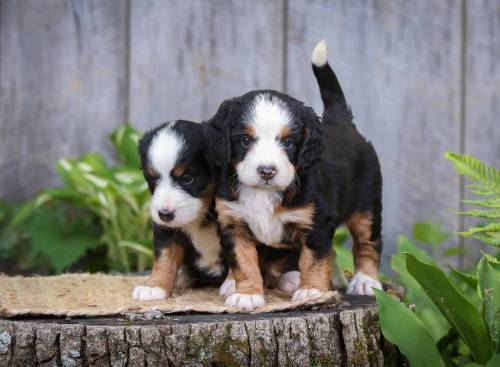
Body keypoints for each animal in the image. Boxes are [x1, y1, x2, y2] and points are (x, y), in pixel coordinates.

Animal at [133, 121, 227, 302]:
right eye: (153, 179)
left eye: (187, 179)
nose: (165, 214)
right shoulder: (165, 230)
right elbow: (164, 257)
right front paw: (155, 287)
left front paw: (234, 286)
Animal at [203, 40, 382, 310]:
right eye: (245, 140)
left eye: (288, 142)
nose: (267, 171)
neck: (263, 193)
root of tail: (342, 122)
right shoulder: (233, 223)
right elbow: (243, 260)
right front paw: (246, 293)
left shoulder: (316, 222)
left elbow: (314, 259)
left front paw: (311, 291)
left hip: (366, 206)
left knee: (367, 243)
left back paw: (365, 281)